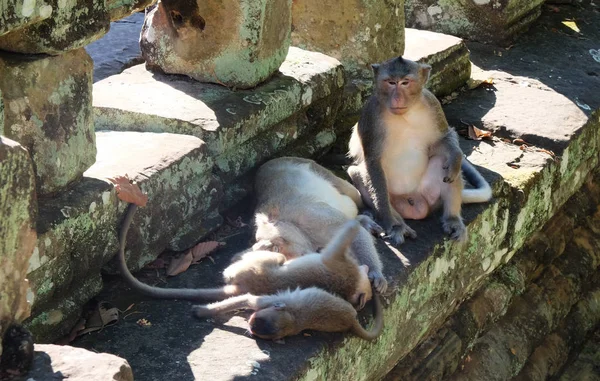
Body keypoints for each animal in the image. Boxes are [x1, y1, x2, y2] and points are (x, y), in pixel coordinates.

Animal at [117, 203, 372, 308]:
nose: (366, 271)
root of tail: (242, 287)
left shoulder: (341, 265)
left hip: (257, 266)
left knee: (237, 265)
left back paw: (259, 248)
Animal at [195, 284, 386, 342]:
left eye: (257, 321)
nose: (250, 325)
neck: (293, 320)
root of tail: (351, 321)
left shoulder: (267, 303)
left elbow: (246, 299)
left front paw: (202, 311)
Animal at [251, 156, 386, 292]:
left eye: (276, 248)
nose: (297, 259)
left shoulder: (310, 216)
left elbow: (353, 231)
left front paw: (374, 271)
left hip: (312, 166)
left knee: (348, 190)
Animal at [346, 55, 492, 243]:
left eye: (405, 82)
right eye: (390, 82)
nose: (397, 98)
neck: (405, 113)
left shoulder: (432, 104)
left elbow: (442, 139)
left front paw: (456, 155)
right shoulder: (371, 115)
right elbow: (372, 162)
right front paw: (390, 221)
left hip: (429, 194)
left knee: (443, 161)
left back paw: (452, 219)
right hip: (393, 198)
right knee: (357, 172)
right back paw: (398, 224)